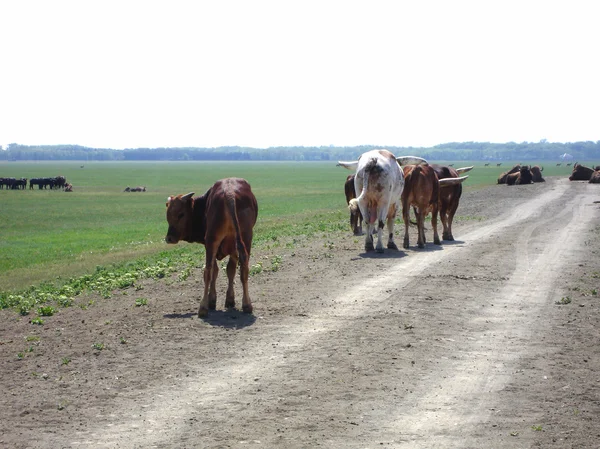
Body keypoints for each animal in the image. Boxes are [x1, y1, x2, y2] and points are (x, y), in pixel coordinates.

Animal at [164, 177, 258, 316]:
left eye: (181, 214)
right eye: (168, 214)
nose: (169, 238)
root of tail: (229, 193)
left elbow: (216, 271)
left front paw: (213, 300)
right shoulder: (234, 248)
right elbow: (230, 270)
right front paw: (230, 299)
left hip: (211, 240)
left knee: (208, 271)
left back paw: (203, 307)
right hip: (246, 238)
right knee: (244, 268)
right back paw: (247, 304)